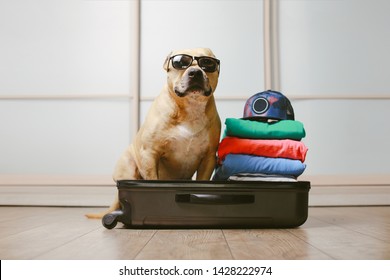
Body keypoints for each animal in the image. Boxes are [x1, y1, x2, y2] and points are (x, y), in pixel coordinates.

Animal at [86, 48, 221, 219]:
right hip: (128, 168)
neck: (189, 108)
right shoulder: (150, 154)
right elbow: (152, 180)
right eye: (180, 62)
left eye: (207, 63)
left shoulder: (208, 158)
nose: (195, 72)